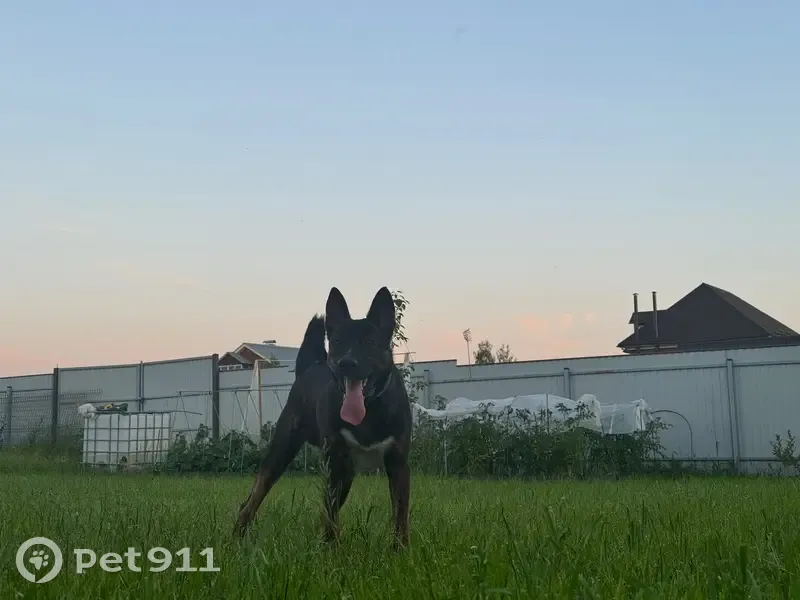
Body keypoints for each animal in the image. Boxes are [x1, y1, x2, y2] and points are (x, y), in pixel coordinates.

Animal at [233, 286, 413, 548]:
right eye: (337, 342)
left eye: (368, 342)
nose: (347, 363)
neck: (369, 410)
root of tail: (308, 369)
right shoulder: (335, 463)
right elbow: (331, 513)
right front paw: (332, 549)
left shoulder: (398, 464)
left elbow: (400, 515)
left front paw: (400, 550)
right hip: (282, 452)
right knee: (252, 500)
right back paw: (237, 536)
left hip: (346, 473)